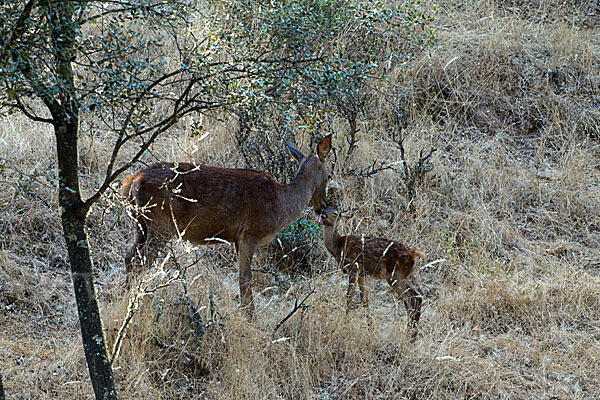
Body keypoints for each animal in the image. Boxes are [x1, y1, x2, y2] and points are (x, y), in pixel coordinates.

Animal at [119, 134, 330, 316]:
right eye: (329, 176)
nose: (322, 207)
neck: (281, 204)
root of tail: (131, 183)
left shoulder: (236, 238)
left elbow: (241, 275)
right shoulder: (250, 232)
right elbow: (245, 277)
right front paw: (250, 316)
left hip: (142, 224)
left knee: (129, 257)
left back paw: (125, 299)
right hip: (160, 224)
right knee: (140, 261)